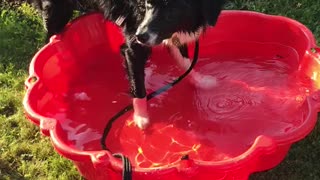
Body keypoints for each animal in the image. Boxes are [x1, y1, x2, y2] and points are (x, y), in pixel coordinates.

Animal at [29, 0, 225, 129]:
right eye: (148, 4)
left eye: (171, 9)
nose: (140, 36)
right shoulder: (133, 47)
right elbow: (138, 87)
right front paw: (141, 117)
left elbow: (185, 60)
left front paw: (200, 81)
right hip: (57, 11)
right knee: (51, 38)